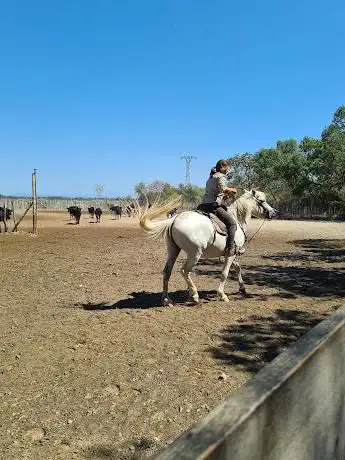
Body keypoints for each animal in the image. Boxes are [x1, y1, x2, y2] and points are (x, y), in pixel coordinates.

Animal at [137, 190, 276, 306]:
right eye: (262, 200)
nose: (274, 213)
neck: (237, 218)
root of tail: (174, 219)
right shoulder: (230, 254)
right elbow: (224, 273)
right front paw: (222, 295)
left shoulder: (231, 253)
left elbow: (237, 267)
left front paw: (242, 288)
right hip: (195, 254)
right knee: (184, 271)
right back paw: (194, 295)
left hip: (173, 251)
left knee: (167, 272)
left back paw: (166, 300)